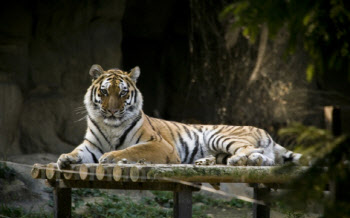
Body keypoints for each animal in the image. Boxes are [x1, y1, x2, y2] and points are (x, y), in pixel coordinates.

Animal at [56, 64, 302, 170]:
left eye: (123, 93)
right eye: (105, 92)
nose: (113, 111)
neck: (111, 126)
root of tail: (266, 131)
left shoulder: (159, 144)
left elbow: (132, 150)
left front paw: (112, 157)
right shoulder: (91, 145)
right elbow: (78, 152)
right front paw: (65, 158)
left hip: (219, 135)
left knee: (254, 152)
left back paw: (239, 160)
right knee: (263, 159)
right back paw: (208, 161)